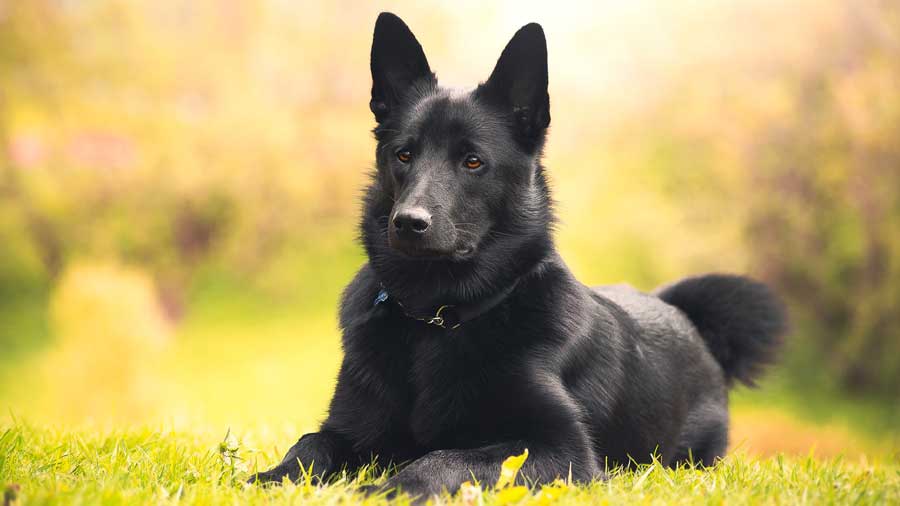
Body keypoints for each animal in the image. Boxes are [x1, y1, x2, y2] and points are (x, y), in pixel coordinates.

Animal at [248, 12, 788, 502]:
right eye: (403, 154)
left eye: (473, 162)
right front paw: (270, 479)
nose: (407, 223)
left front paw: (387, 488)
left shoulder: (562, 450)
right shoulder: (350, 427)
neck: (435, 319)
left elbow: (447, 457)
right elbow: (310, 444)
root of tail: (681, 312)